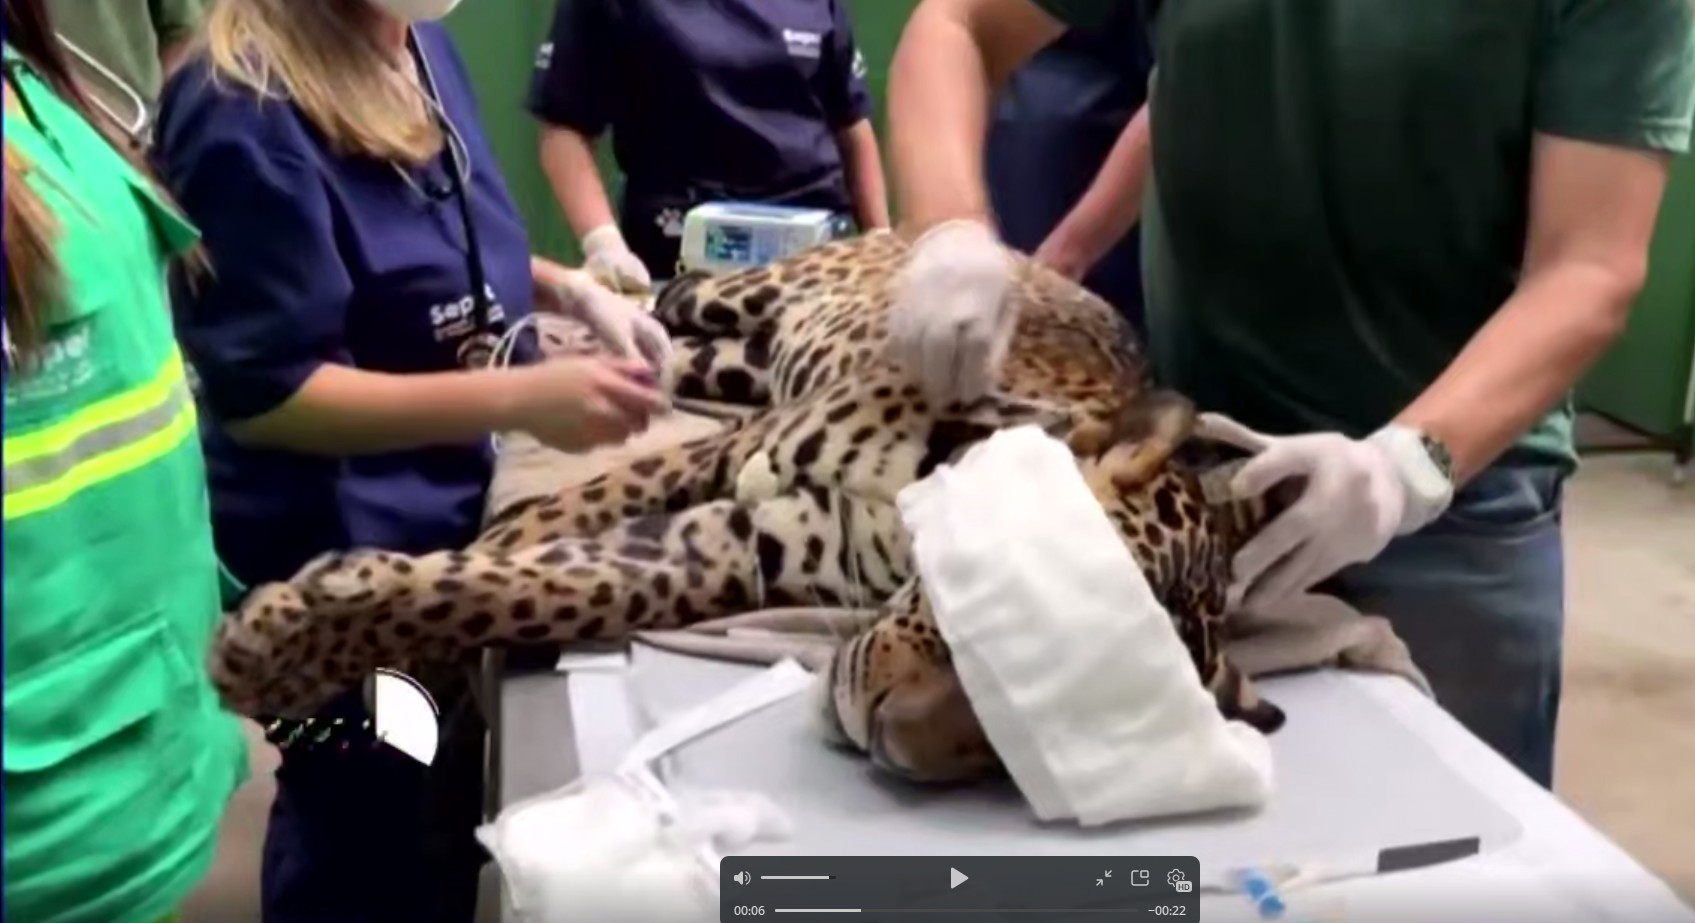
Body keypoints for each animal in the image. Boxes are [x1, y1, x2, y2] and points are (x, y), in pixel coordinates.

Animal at [210, 229, 1287, 785]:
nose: (894, 738)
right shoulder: (747, 448)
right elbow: (582, 507)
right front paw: (285, 640)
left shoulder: (742, 545)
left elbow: (539, 589)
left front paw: (311, 633)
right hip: (754, 296)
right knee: (673, 292)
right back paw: (563, 324)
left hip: (736, 364)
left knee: (676, 354)